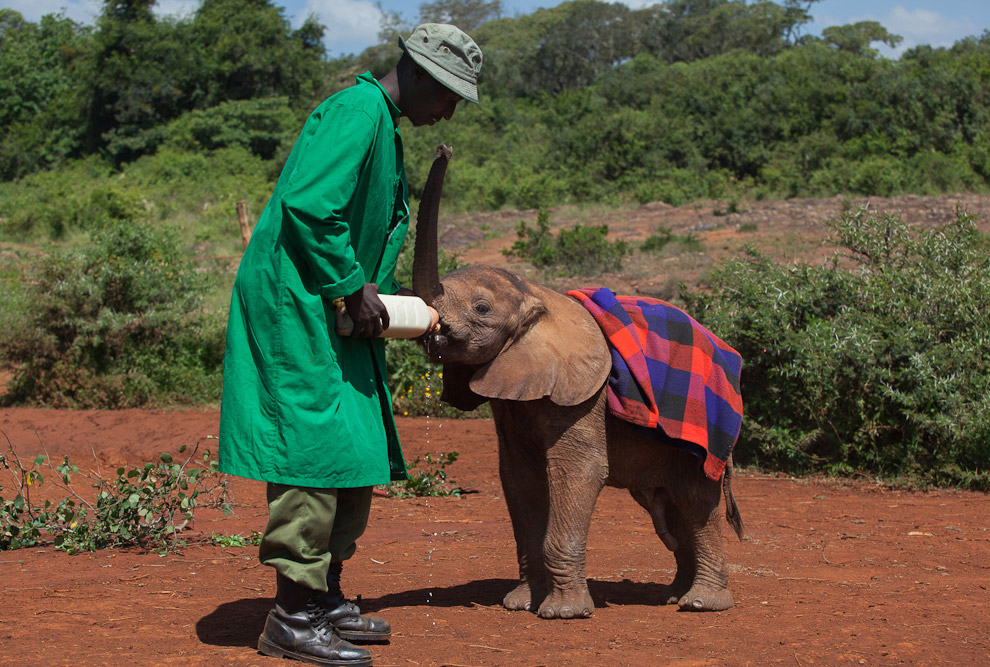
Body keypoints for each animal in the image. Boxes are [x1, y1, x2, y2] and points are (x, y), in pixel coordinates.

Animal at [410, 147, 744, 620]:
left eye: (481, 308)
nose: (444, 149)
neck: (536, 293)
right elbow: (520, 477)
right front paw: (519, 605)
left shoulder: (585, 392)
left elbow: (577, 470)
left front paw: (562, 613)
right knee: (670, 509)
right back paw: (672, 597)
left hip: (705, 436)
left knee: (696, 502)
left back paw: (701, 604)